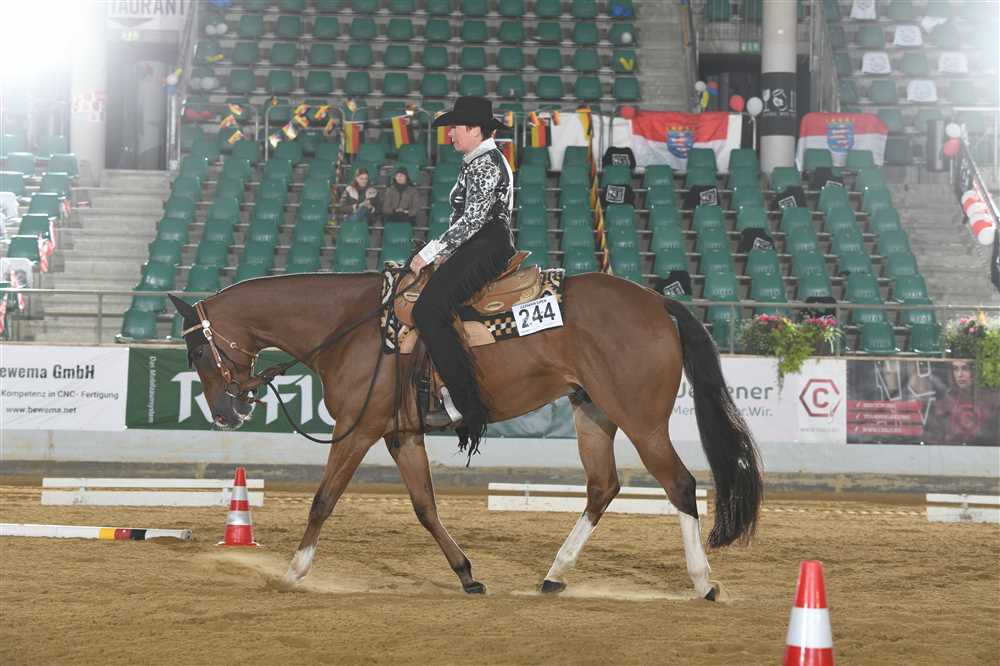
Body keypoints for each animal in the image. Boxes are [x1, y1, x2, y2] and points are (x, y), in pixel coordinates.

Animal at [168, 269, 762, 600]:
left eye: (196, 350)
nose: (224, 413)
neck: (352, 327)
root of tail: (656, 301)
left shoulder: (357, 430)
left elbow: (323, 499)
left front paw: (293, 572)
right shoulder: (400, 435)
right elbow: (426, 507)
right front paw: (467, 575)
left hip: (640, 419)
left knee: (681, 486)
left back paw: (703, 582)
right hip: (593, 413)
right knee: (602, 488)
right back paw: (553, 575)